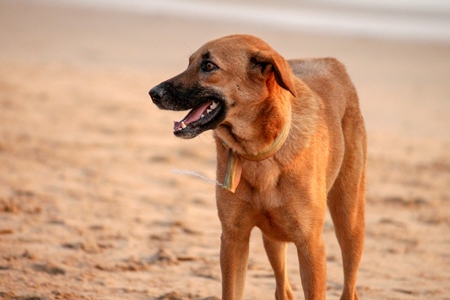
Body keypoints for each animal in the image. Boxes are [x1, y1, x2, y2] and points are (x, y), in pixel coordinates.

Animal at [149, 34, 368, 298]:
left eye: (209, 66)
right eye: (189, 62)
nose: (153, 93)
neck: (256, 154)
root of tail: (330, 62)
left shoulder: (311, 245)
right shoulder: (233, 238)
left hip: (350, 221)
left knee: (350, 286)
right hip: (273, 236)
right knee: (283, 289)